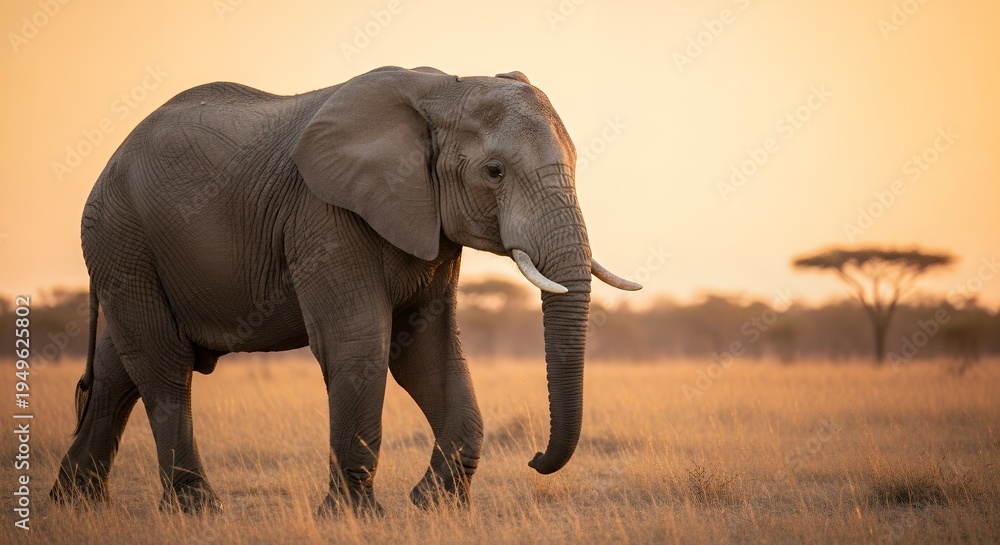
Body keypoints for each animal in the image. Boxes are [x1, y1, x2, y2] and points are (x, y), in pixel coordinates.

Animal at [49, 66, 641, 515]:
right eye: (493, 172)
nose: (536, 460)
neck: (442, 90)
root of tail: (111, 160)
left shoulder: (429, 227)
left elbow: (429, 356)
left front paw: (433, 507)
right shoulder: (324, 215)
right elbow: (357, 346)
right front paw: (356, 517)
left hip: (129, 252)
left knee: (118, 372)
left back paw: (73, 504)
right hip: (121, 237)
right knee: (163, 364)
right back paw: (196, 510)